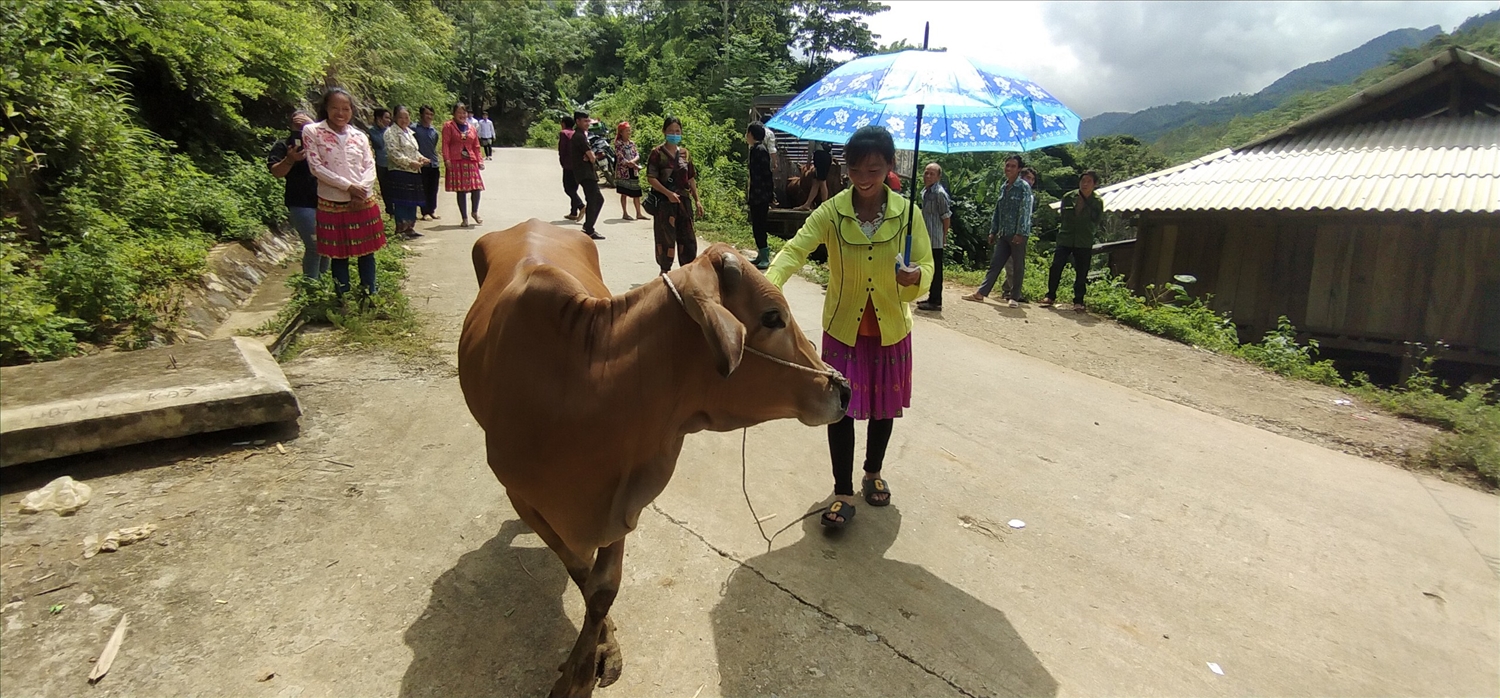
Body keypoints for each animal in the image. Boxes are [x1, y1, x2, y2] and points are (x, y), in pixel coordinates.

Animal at [456, 219, 852, 696]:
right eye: (772, 316)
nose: (843, 388)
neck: (584, 386)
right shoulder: (523, 496)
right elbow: (583, 574)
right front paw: (585, 665)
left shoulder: (620, 499)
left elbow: (601, 588)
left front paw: (590, 663)